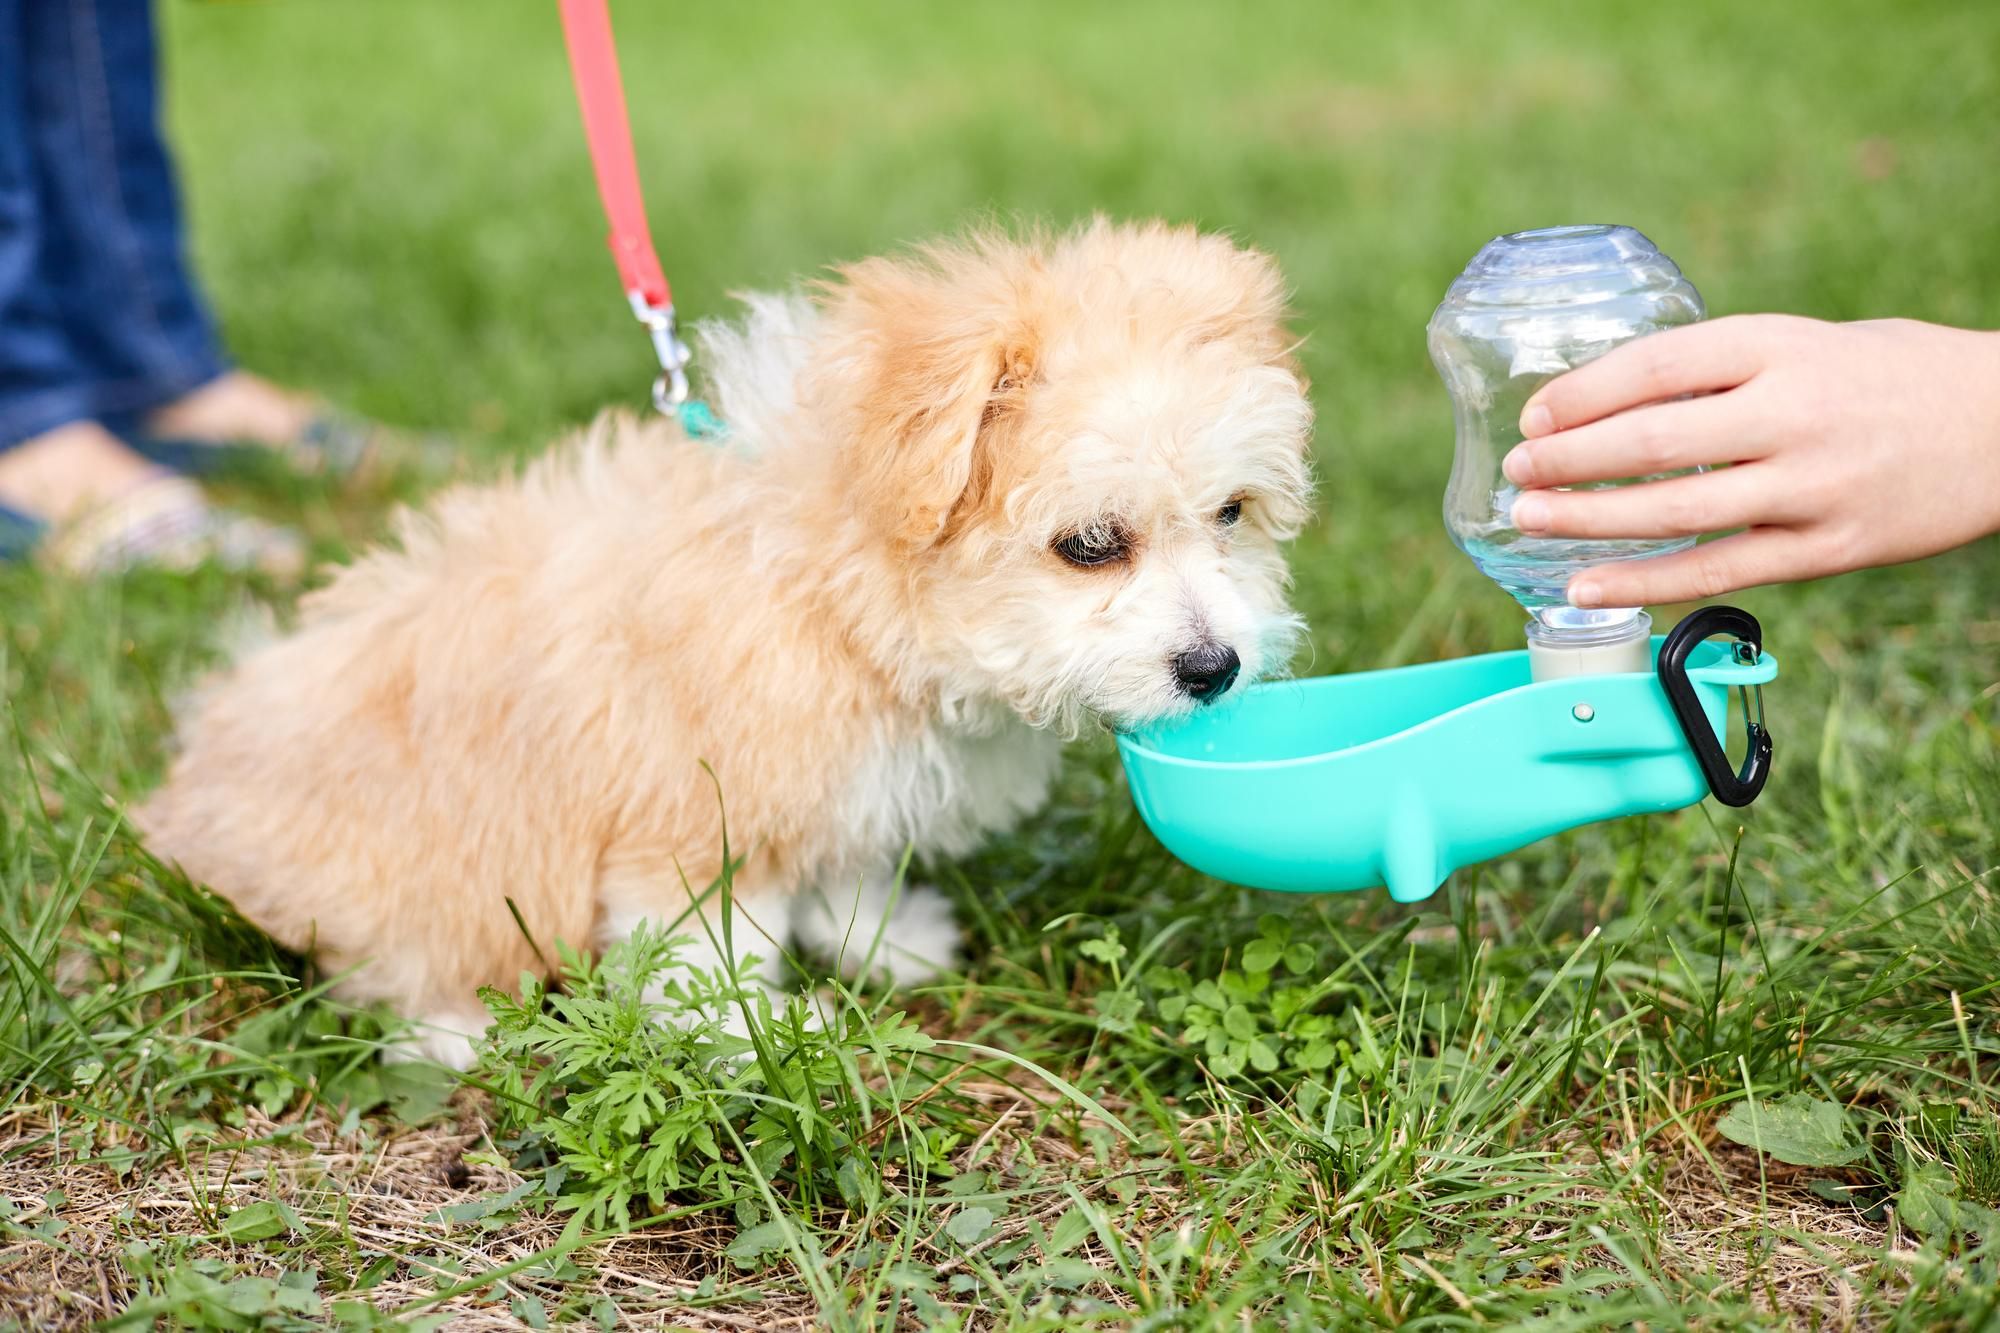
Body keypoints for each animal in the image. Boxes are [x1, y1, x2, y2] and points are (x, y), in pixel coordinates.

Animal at [137, 220, 1312, 1072]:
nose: (1214, 669)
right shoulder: (692, 820)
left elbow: (846, 858)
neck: (831, 583)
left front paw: (884, 940)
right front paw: (759, 1037)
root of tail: (187, 796)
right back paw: (454, 1032)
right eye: (1089, 546)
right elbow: (711, 955)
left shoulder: (836, 777)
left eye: (1231, 514)